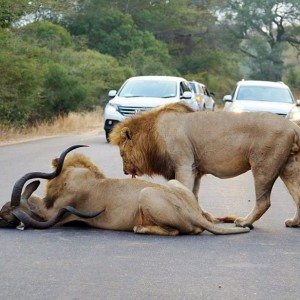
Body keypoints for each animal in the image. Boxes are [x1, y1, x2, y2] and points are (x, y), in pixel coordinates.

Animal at [0, 146, 248, 236]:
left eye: (7, 214)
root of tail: (192, 213)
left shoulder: (61, 210)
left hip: (146, 194)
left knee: (176, 232)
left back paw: (140, 228)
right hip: (174, 184)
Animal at [109, 102, 300, 229]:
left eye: (121, 154)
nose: (124, 171)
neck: (152, 135)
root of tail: (292, 125)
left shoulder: (184, 164)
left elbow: (184, 190)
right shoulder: (196, 170)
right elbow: (193, 195)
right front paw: (204, 216)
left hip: (263, 165)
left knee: (264, 201)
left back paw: (244, 222)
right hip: (289, 167)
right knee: (297, 195)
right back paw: (294, 223)